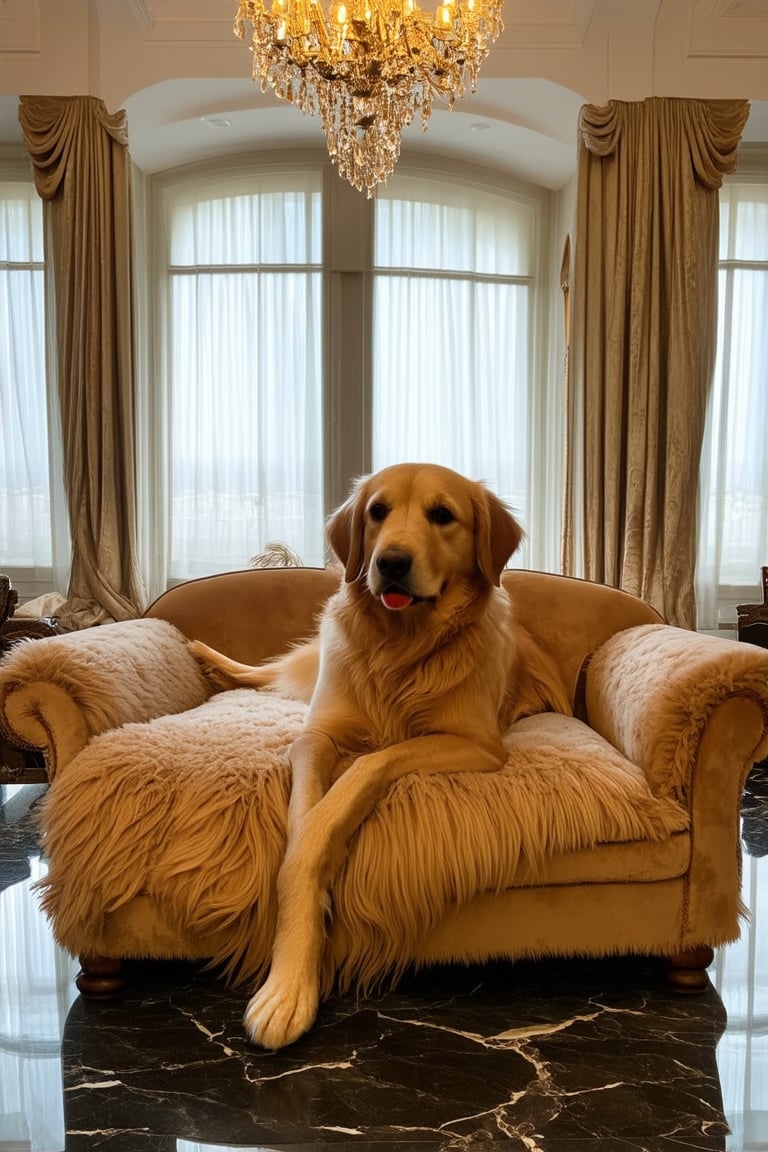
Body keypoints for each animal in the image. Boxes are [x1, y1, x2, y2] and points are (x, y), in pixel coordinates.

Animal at [188, 463, 568, 1050]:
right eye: (377, 512)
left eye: (442, 515)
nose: (390, 562)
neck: (402, 647)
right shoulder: (315, 737)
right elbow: (302, 834)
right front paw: (290, 978)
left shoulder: (476, 743)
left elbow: (362, 772)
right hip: (312, 663)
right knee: (272, 672)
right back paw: (209, 659)